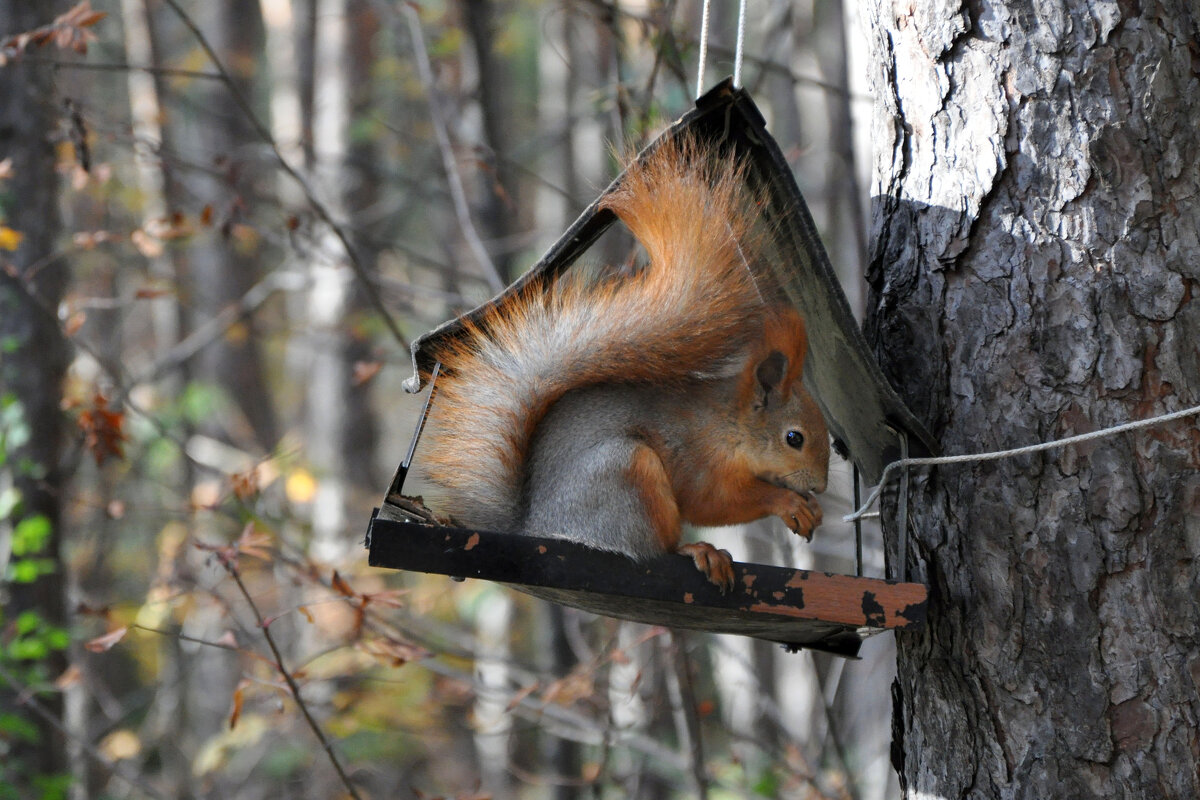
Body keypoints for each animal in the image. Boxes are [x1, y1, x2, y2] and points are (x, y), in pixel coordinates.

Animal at [420, 134, 825, 592]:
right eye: (794, 438)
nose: (820, 486)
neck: (728, 424)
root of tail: (538, 526)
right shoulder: (698, 459)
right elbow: (714, 502)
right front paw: (789, 502)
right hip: (627, 473)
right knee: (653, 546)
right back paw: (699, 550)